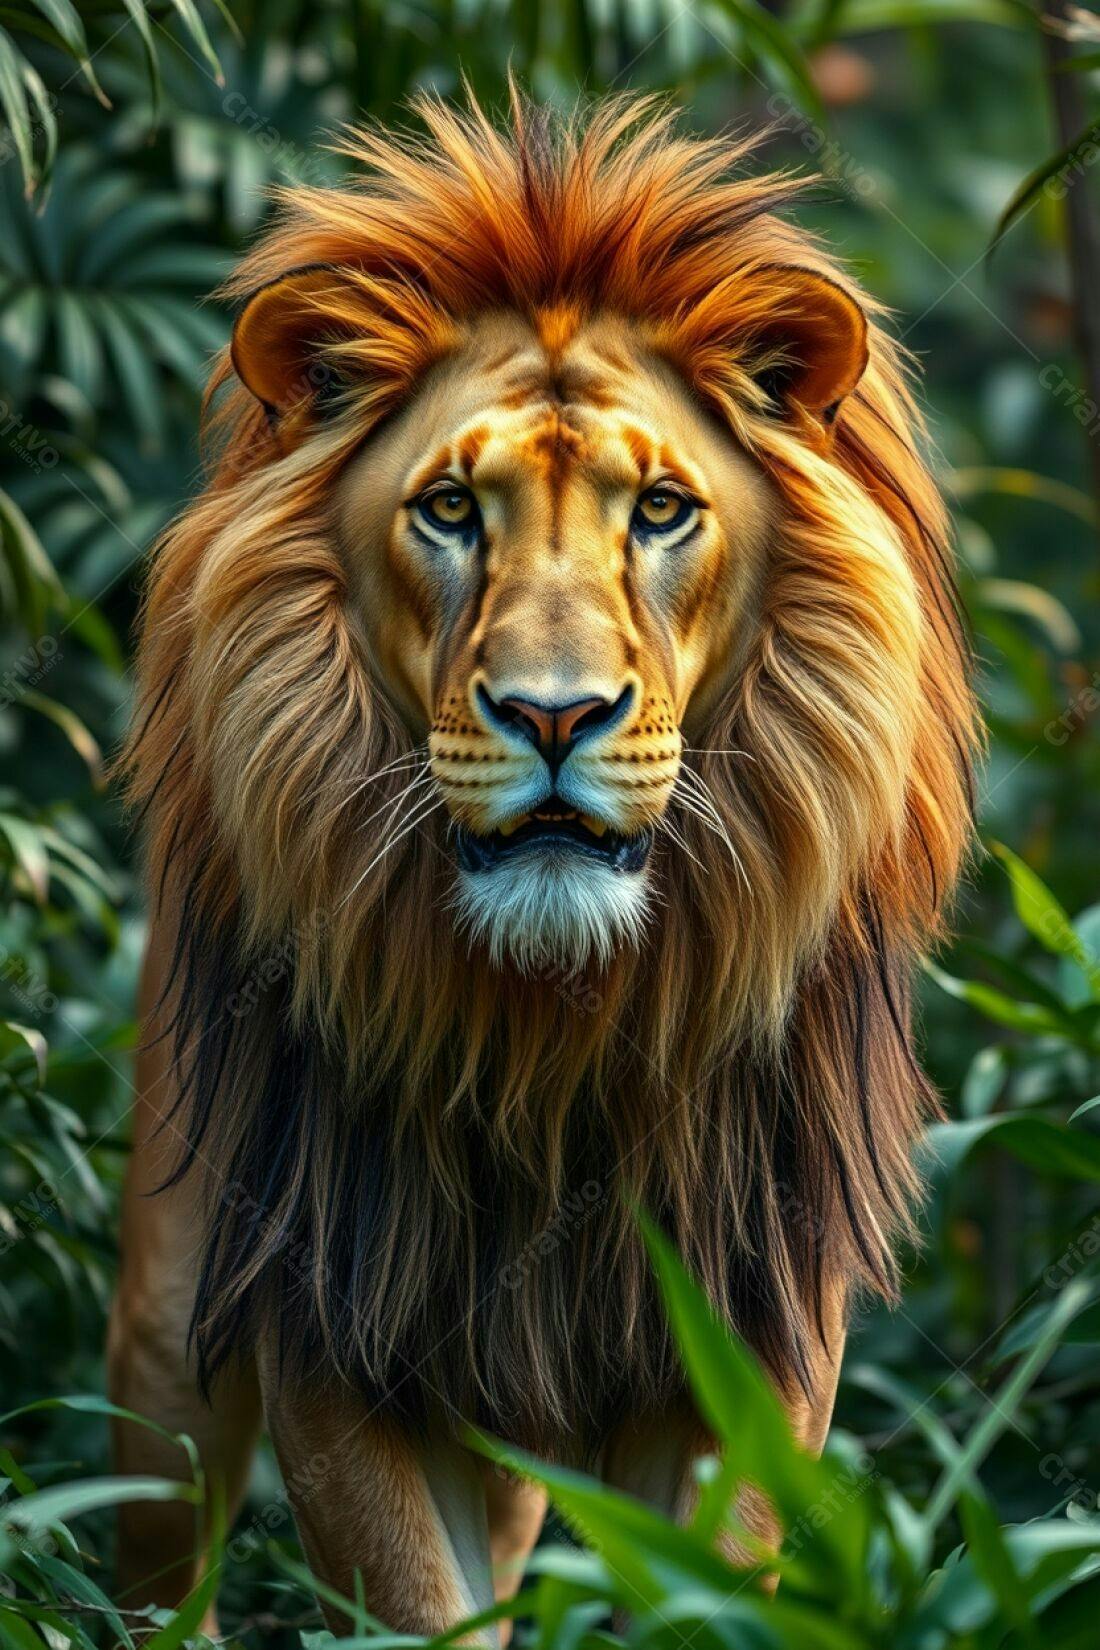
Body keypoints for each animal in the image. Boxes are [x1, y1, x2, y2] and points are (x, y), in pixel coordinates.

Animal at [107, 92, 977, 1635]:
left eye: (661, 511)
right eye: (452, 510)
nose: (554, 714)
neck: (551, 1033)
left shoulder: (745, 1325)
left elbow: (709, 1586)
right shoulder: (332, 1317)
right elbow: (416, 1604)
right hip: (168, 1349)